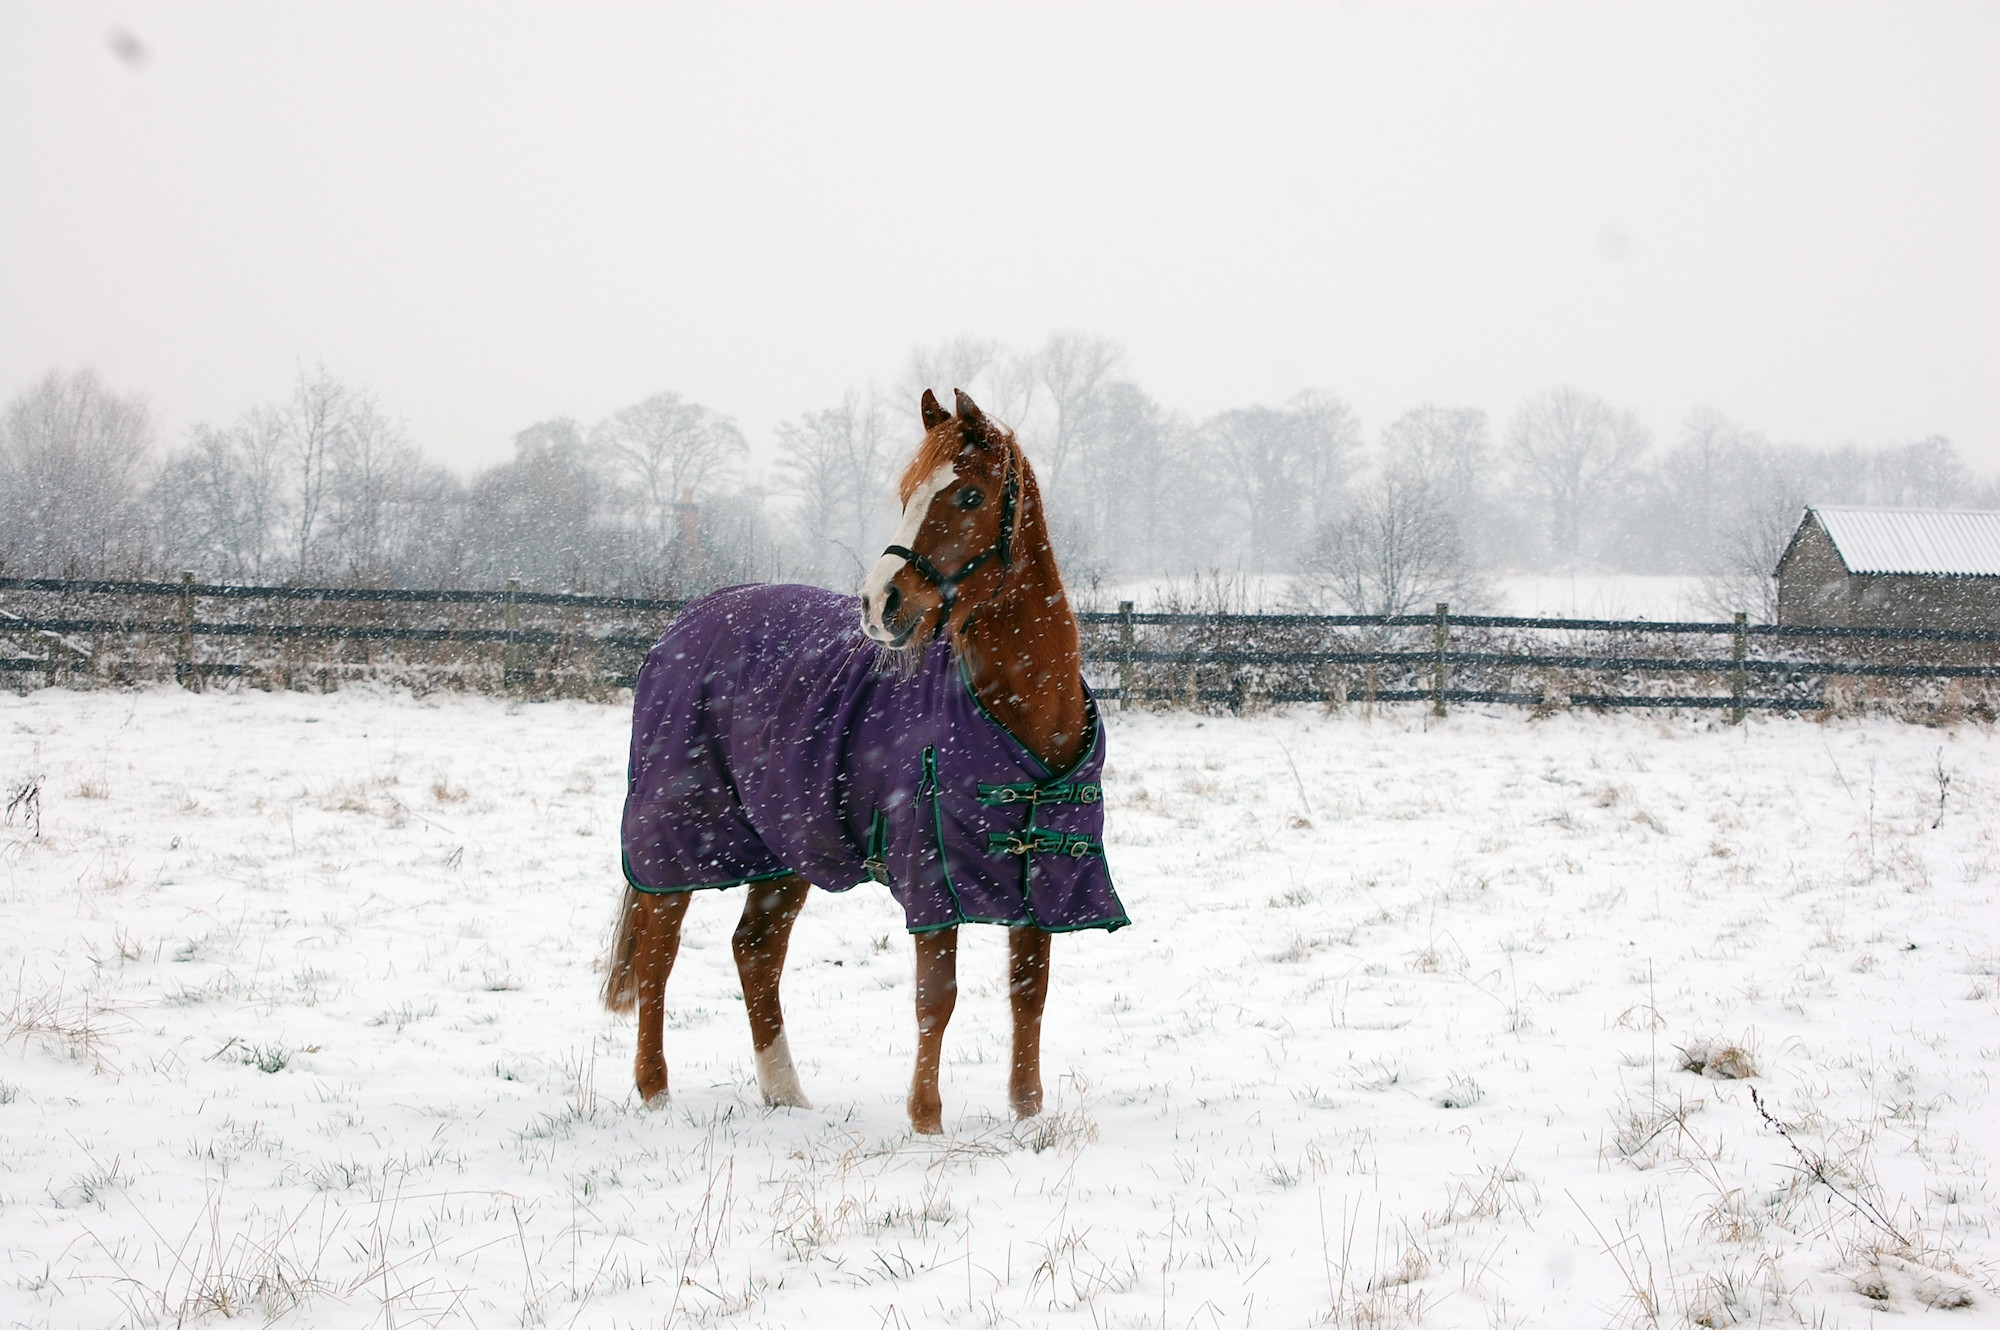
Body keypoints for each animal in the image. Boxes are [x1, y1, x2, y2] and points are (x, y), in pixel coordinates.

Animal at [592, 384, 1128, 1128]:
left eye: (968, 496)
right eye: (906, 494)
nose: (880, 603)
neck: (1022, 714)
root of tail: (680, 628)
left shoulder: (1041, 872)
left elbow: (1030, 990)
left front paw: (1027, 1117)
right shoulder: (933, 872)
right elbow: (937, 996)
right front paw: (927, 1122)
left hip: (784, 844)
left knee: (755, 950)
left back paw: (785, 1094)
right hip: (679, 837)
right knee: (657, 953)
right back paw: (656, 1093)